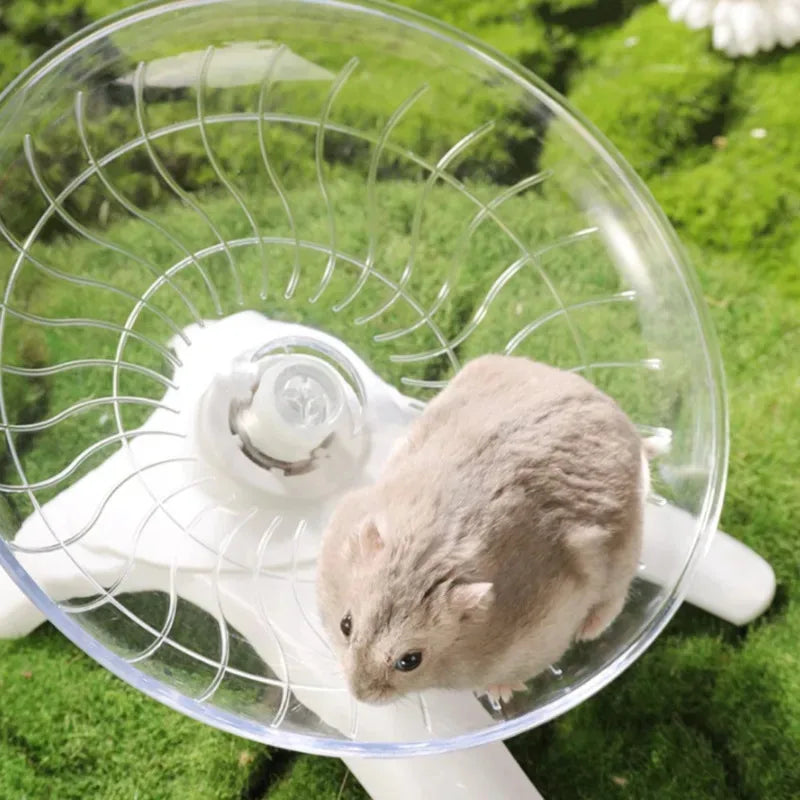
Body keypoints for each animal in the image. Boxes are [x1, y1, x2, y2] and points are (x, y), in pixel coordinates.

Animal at [316, 354, 655, 705]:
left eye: (410, 660)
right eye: (345, 624)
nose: (358, 696)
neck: (426, 559)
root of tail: (628, 426)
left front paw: (501, 695)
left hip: (623, 550)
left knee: (615, 598)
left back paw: (588, 631)